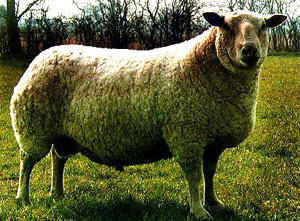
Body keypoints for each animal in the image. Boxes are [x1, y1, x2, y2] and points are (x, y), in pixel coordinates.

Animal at [10, 10, 288, 219]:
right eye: (226, 26)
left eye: (263, 26)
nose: (250, 51)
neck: (204, 65)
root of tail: (43, 55)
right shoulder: (186, 138)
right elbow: (194, 177)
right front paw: (198, 211)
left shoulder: (213, 141)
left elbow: (209, 174)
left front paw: (213, 202)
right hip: (33, 126)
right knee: (26, 162)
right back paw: (23, 197)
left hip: (62, 134)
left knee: (57, 159)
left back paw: (57, 193)